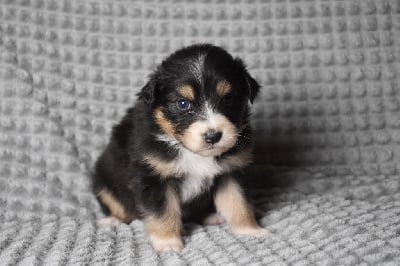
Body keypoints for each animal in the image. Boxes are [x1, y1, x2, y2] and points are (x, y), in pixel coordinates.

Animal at [93, 44, 268, 254]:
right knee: (119, 208)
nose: (213, 136)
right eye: (183, 103)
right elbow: (163, 213)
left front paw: (250, 231)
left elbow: (238, 203)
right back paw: (111, 221)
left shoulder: (231, 172)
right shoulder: (153, 177)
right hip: (103, 183)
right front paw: (167, 243)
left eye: (228, 99)